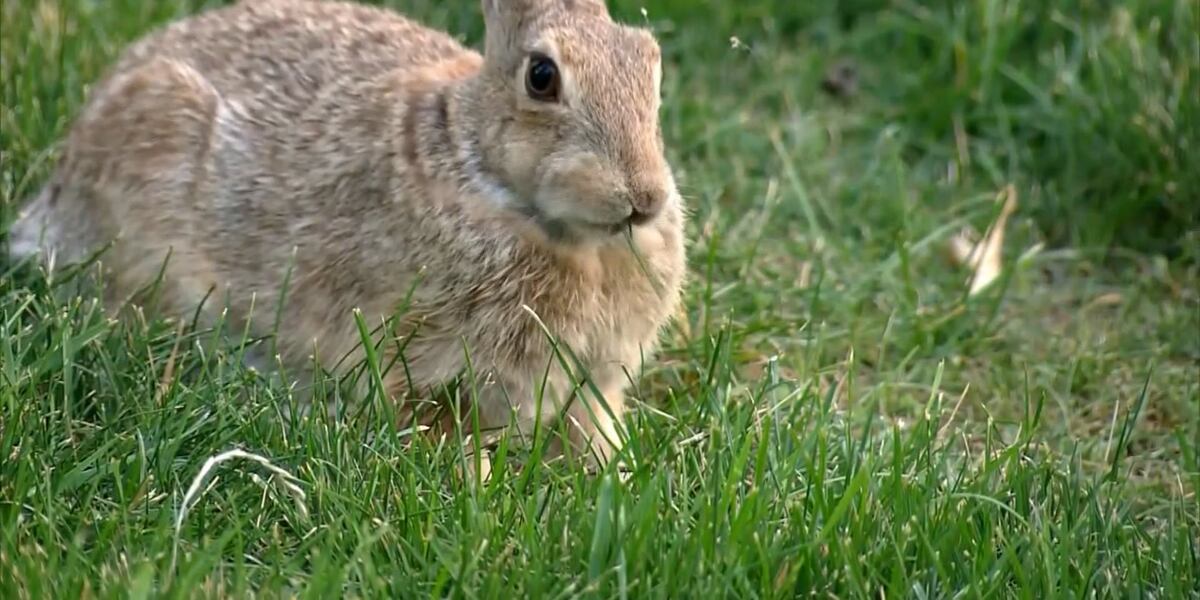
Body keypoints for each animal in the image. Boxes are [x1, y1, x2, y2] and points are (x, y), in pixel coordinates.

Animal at [6, 0, 687, 467]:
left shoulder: (595, 379)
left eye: (650, 65)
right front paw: (475, 479)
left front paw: (609, 473)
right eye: (542, 76)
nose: (644, 198)